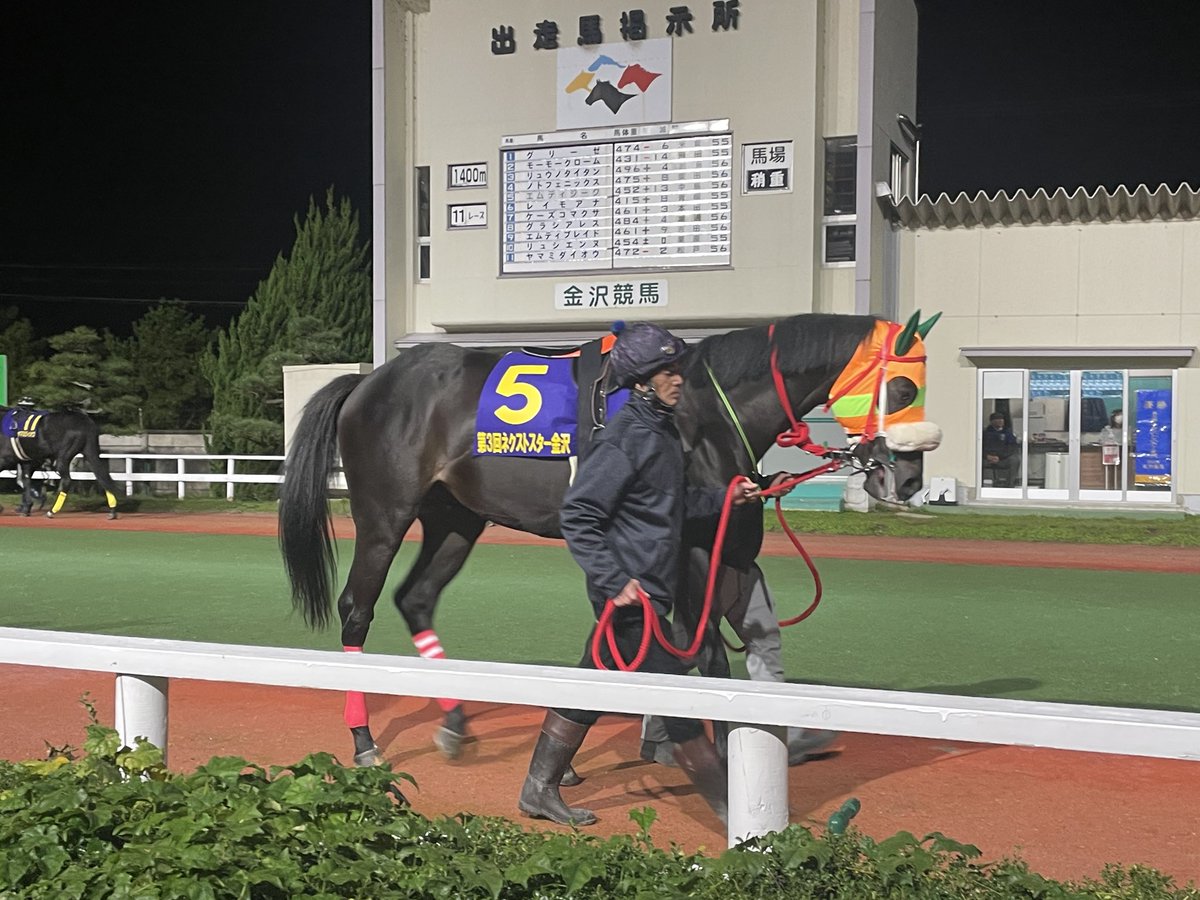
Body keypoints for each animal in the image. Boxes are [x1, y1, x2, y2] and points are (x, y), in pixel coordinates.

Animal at [279, 311, 942, 766]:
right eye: (904, 389)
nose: (908, 479)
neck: (701, 409)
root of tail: (368, 382)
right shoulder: (690, 548)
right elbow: (704, 652)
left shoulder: (723, 548)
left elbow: (719, 640)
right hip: (385, 513)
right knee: (357, 609)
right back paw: (364, 741)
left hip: (456, 516)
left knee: (415, 598)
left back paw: (454, 723)